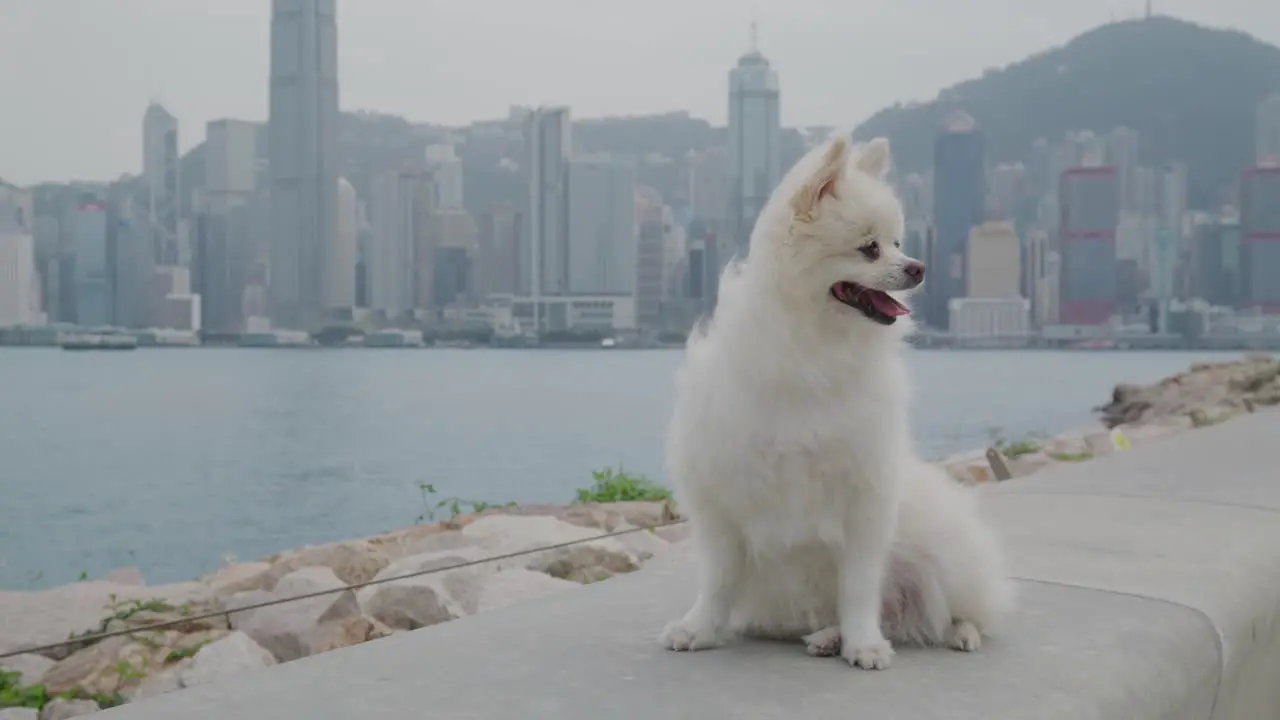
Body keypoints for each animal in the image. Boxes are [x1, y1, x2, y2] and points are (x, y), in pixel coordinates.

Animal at [660, 131, 1008, 666]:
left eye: (899, 243)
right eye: (870, 249)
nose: (919, 267)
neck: (813, 347)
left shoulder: (866, 501)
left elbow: (860, 587)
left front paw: (864, 643)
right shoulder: (722, 498)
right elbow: (717, 580)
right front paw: (699, 628)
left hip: (943, 552)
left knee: (953, 607)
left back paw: (953, 632)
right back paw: (827, 635)